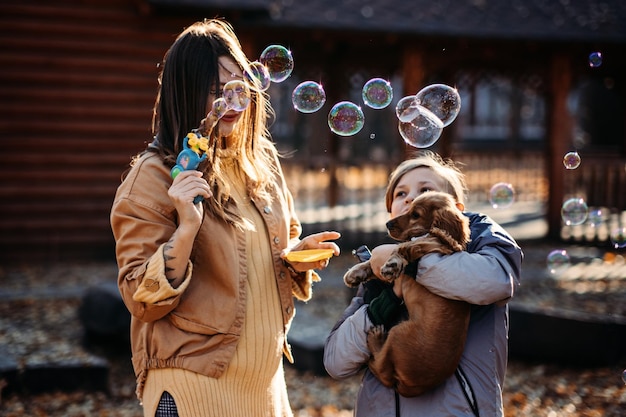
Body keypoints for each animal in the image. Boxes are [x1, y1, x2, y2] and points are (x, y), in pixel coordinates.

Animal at [342, 192, 468, 396]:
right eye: (408, 208)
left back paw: (376, 339)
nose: (387, 224)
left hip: (397, 334)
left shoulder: (440, 243)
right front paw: (356, 272)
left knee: (382, 368)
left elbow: (406, 245)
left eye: (416, 214)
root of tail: (411, 387)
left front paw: (393, 263)